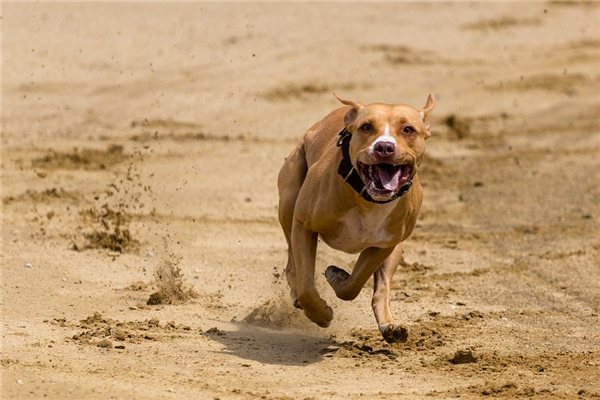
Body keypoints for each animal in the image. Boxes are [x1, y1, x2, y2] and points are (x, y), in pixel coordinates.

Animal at [278, 92, 434, 342]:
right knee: (292, 264)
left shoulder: (383, 246)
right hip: (288, 202)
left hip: (396, 249)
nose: (384, 147)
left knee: (381, 289)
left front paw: (337, 277)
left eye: (408, 129)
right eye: (366, 127)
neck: (368, 199)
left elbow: (354, 285)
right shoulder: (303, 225)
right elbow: (306, 288)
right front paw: (322, 314)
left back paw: (390, 326)